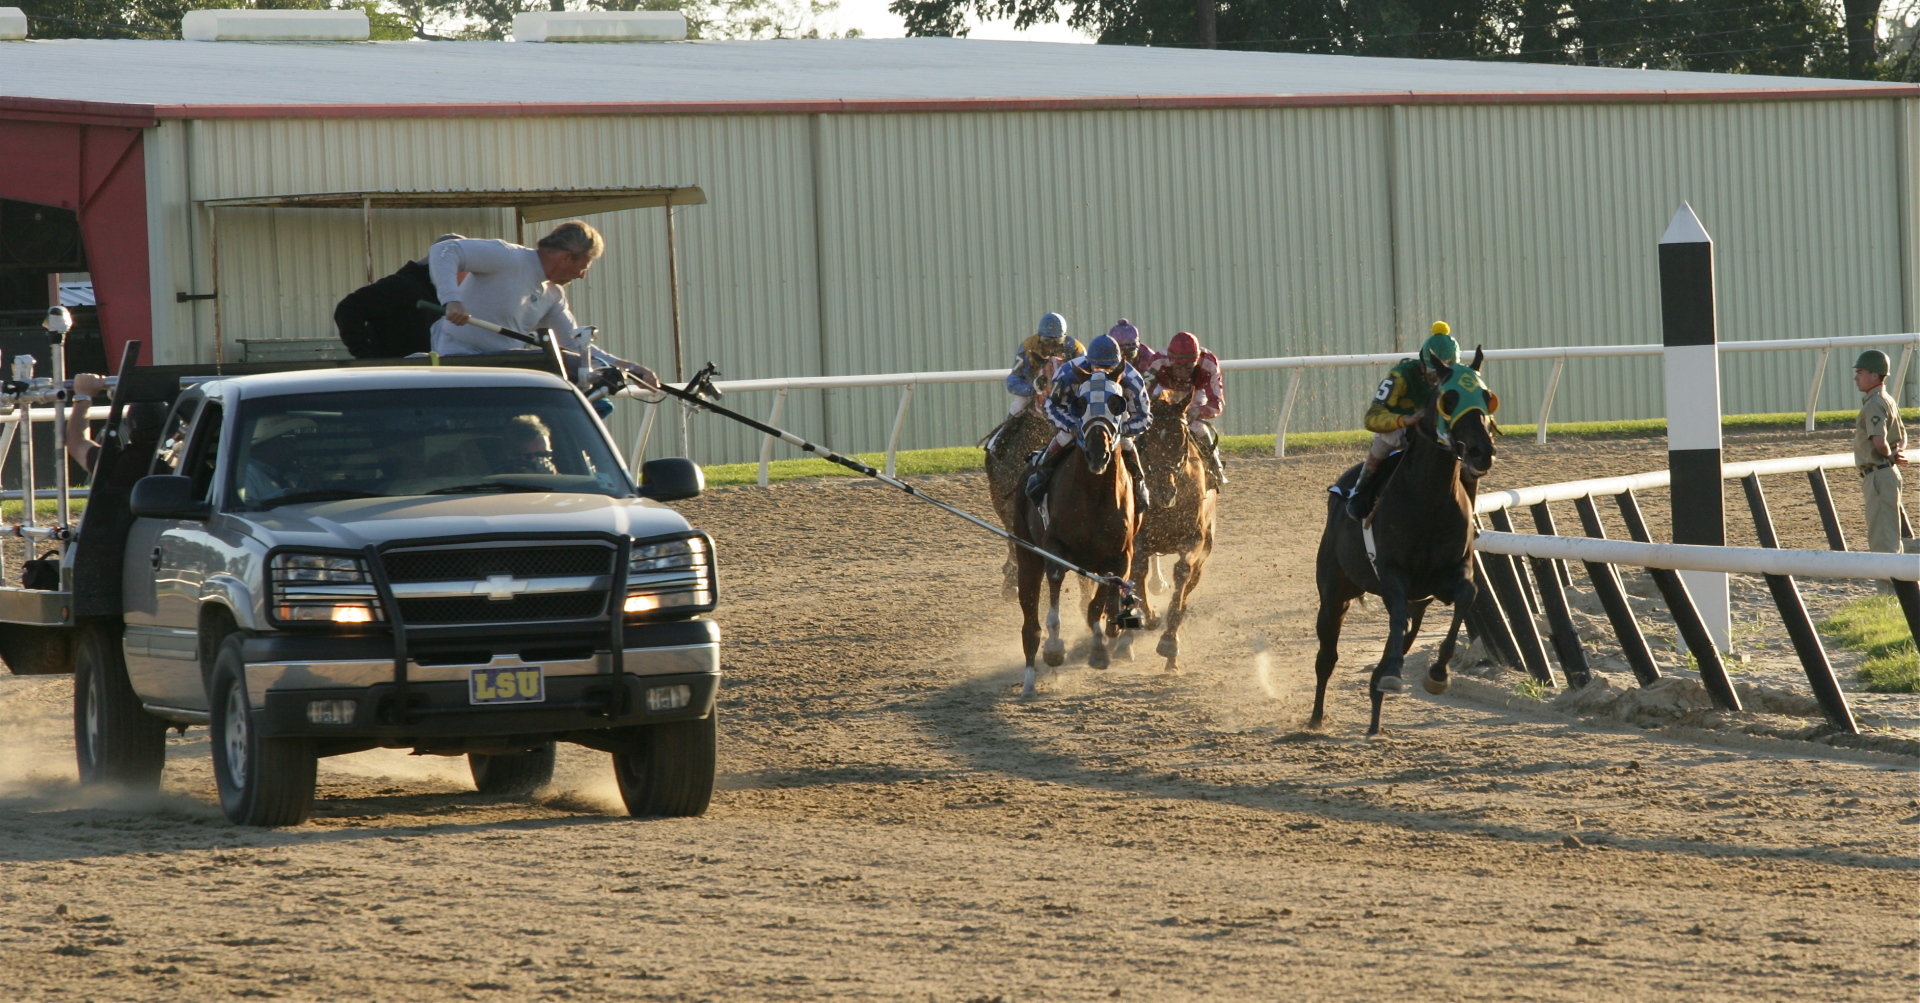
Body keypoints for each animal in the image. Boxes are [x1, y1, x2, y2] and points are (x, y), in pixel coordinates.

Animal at [1021, 405, 1136, 695]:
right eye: (1080, 405)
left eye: (1118, 404)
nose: (1097, 454)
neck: (1094, 493)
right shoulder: (1054, 547)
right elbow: (1055, 588)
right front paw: (1053, 648)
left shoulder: (1121, 554)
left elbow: (1101, 599)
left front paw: (1100, 647)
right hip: (1026, 554)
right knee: (1030, 621)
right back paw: (1029, 682)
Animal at [1121, 393, 1213, 668]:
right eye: (1146, 438)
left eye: (1181, 439)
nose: (1165, 491)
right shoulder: (1140, 538)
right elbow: (1138, 571)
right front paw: (1149, 615)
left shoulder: (1195, 538)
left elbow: (1182, 573)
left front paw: (1169, 641)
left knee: (1189, 582)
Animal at [1320, 347, 1497, 730]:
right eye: (1450, 398)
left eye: (1486, 396)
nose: (1482, 451)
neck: (1429, 500)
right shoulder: (1391, 574)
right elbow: (1396, 619)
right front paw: (1393, 673)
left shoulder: (1453, 572)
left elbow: (1467, 596)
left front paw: (1438, 674)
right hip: (1334, 592)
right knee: (1326, 657)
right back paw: (1314, 719)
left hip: (1420, 601)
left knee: (1403, 633)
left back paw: (1375, 717)